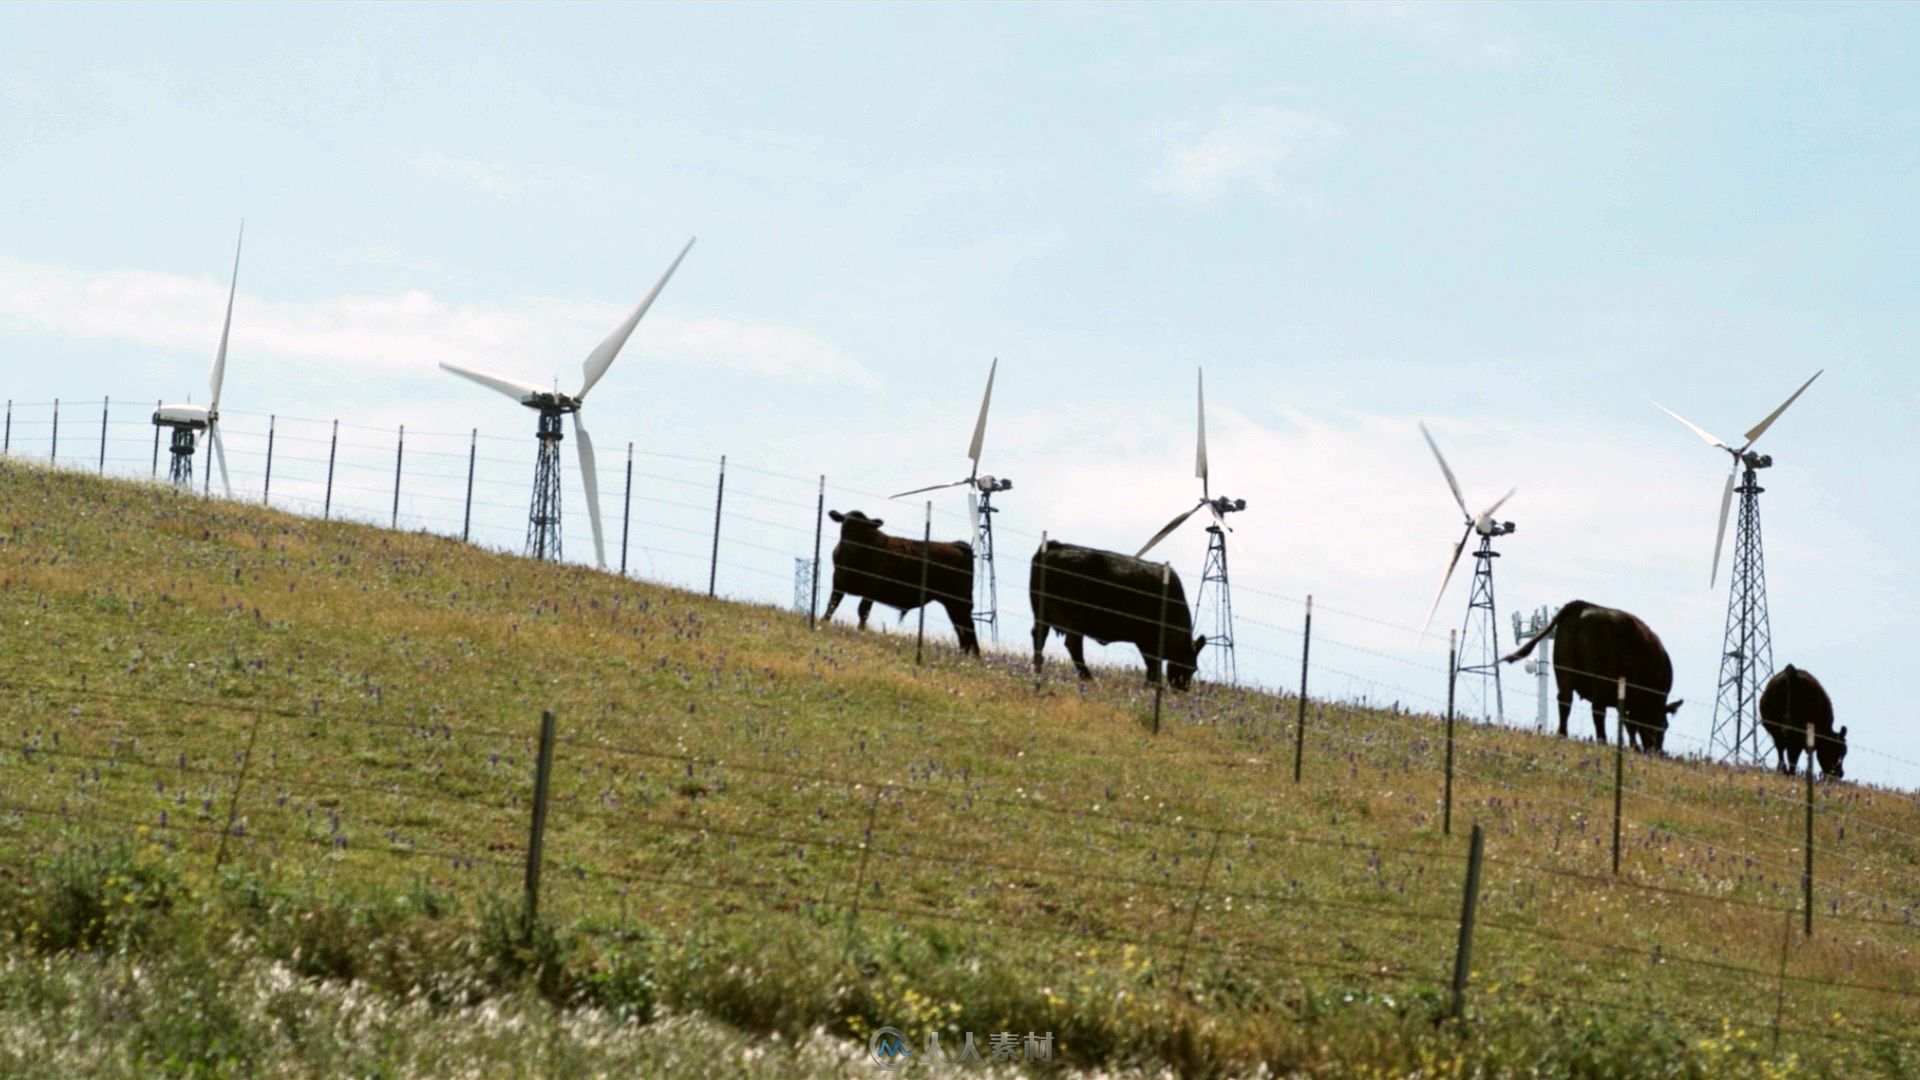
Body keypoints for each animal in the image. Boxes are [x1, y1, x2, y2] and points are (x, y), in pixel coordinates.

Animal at [821, 507, 983, 653]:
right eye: (845, 526)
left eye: (862, 530)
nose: (851, 546)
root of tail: (956, 544)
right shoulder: (838, 582)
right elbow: (832, 604)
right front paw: (823, 622)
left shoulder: (870, 589)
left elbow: (862, 611)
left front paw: (860, 631)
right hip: (954, 604)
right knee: (961, 627)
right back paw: (965, 653)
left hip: (958, 601)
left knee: (966, 626)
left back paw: (972, 654)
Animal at [1036, 538, 1198, 687]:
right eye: (1192, 667)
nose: (1183, 690)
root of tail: (1056, 545)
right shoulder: (1147, 641)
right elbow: (1153, 665)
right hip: (1075, 619)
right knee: (1073, 645)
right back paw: (1088, 678)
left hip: (1042, 613)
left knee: (1039, 636)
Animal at [1497, 595, 1681, 749]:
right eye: (1663, 726)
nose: (1656, 750)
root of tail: (1582, 605)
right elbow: (1629, 724)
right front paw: (1634, 748)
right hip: (1599, 677)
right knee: (1597, 710)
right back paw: (1602, 741)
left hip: (1565, 669)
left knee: (1565, 700)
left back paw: (1563, 734)